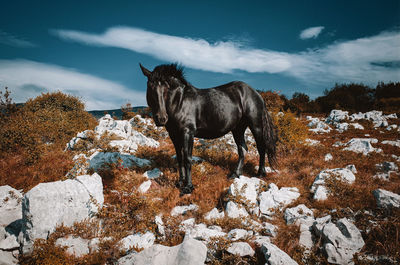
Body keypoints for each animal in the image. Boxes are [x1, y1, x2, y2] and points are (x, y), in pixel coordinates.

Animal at [141, 63, 278, 193]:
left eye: (167, 88)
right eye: (150, 87)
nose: (161, 118)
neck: (180, 102)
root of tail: (256, 94)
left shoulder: (188, 132)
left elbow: (187, 159)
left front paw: (188, 187)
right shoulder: (174, 134)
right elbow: (180, 158)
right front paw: (180, 183)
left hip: (256, 125)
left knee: (261, 147)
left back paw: (261, 173)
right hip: (238, 128)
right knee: (242, 149)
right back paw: (235, 174)